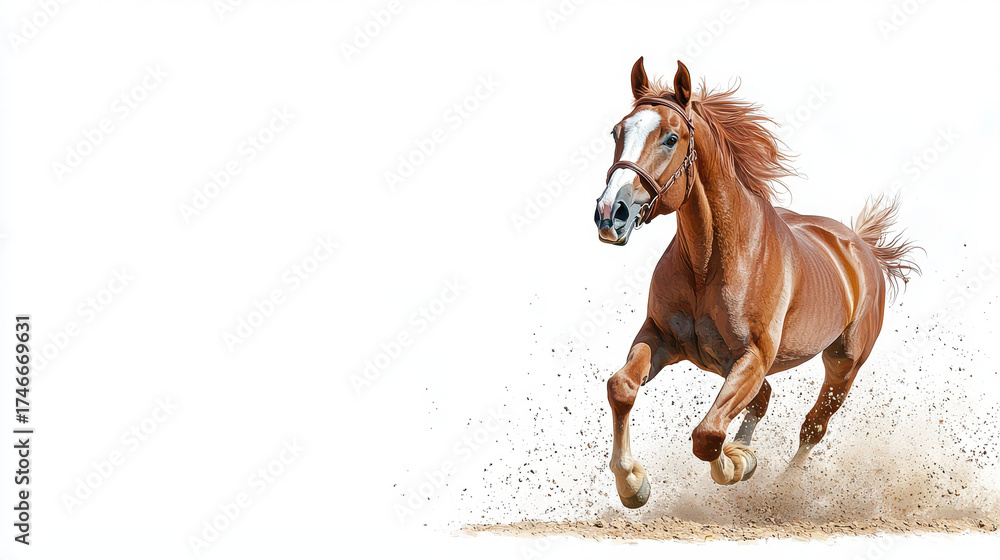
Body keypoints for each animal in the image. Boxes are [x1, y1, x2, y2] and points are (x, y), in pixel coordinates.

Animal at [593, 58, 920, 508]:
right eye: (617, 132)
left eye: (671, 138)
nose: (611, 214)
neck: (709, 261)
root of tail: (861, 248)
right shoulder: (661, 337)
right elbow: (622, 387)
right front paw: (632, 484)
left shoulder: (751, 356)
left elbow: (708, 435)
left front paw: (736, 465)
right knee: (763, 399)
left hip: (843, 365)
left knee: (812, 425)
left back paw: (781, 488)